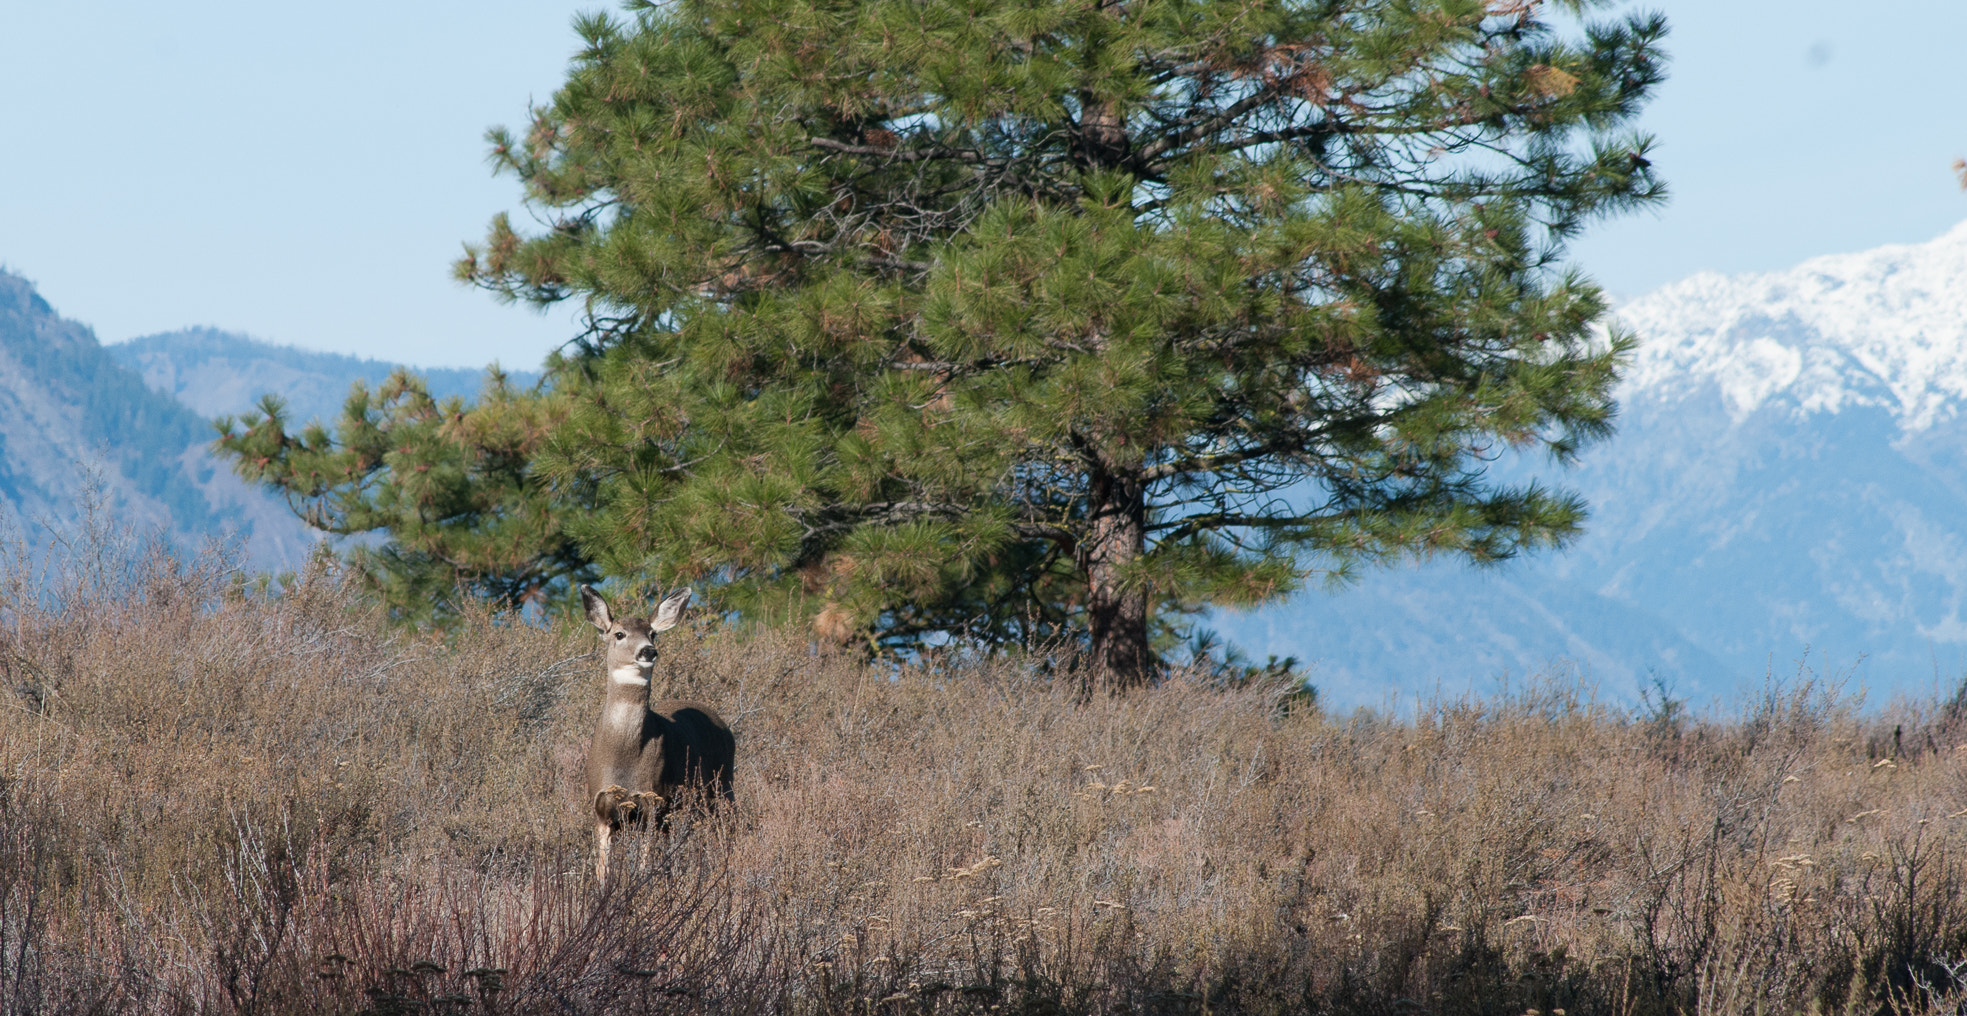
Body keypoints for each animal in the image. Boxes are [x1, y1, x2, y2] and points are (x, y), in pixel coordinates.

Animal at [586, 577, 739, 880]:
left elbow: (645, 864)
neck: (623, 757)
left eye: (653, 633)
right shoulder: (601, 807)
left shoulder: (653, 800)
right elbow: (603, 870)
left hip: (722, 786)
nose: (648, 650)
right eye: (619, 634)